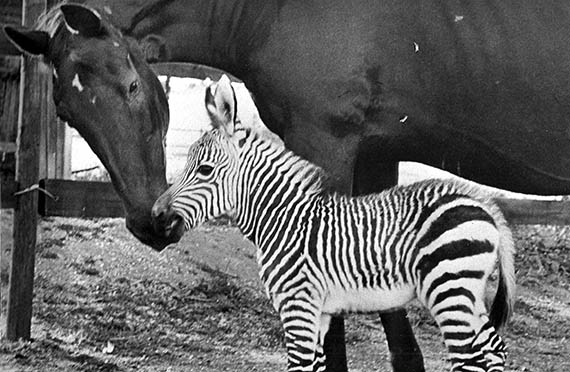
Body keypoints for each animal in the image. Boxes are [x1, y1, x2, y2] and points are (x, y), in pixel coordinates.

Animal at [152, 76, 516, 372]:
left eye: (205, 170)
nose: (156, 215)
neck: (282, 218)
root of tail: (484, 204)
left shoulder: (298, 304)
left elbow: (300, 366)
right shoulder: (320, 312)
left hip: (449, 288)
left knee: (469, 359)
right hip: (468, 293)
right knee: (493, 350)